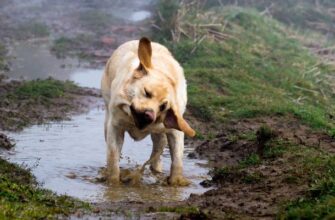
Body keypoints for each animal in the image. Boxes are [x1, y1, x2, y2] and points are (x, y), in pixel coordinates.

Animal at [101, 37, 196, 185]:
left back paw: (156, 171)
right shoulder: (115, 127)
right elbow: (112, 158)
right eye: (147, 92)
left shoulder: (175, 131)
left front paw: (176, 182)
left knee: (157, 151)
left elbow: (177, 161)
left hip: (160, 135)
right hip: (107, 121)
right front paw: (113, 182)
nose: (150, 115)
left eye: (163, 107)